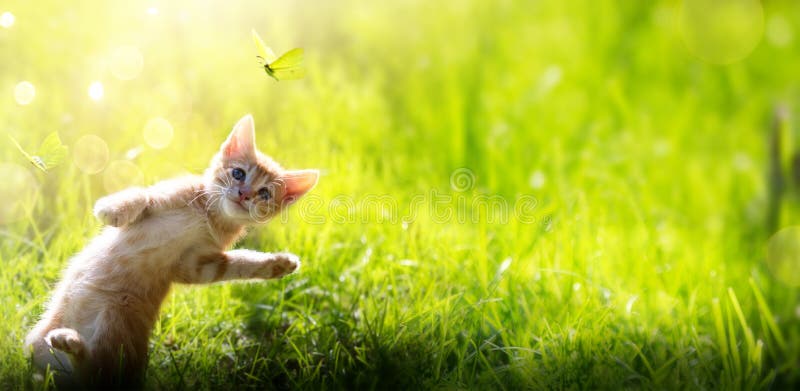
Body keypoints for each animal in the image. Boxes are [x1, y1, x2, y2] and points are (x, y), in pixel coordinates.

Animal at [22, 113, 316, 388]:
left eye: (265, 193)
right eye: (238, 173)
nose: (244, 194)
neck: (209, 215)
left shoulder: (196, 265)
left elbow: (237, 263)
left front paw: (278, 264)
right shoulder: (167, 196)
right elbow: (142, 196)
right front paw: (113, 209)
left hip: (116, 319)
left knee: (95, 371)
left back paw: (69, 341)